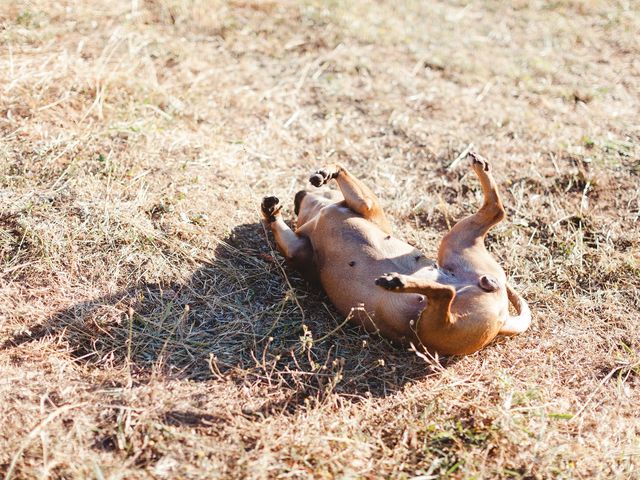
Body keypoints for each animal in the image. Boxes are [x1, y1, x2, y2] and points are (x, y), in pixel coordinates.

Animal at [260, 152, 528, 354]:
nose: (298, 195)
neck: (320, 212)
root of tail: (503, 320)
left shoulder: (366, 205)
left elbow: (343, 168)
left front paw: (327, 171)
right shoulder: (297, 248)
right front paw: (269, 210)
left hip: (438, 318)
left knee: (495, 215)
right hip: (438, 307)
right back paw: (399, 282)